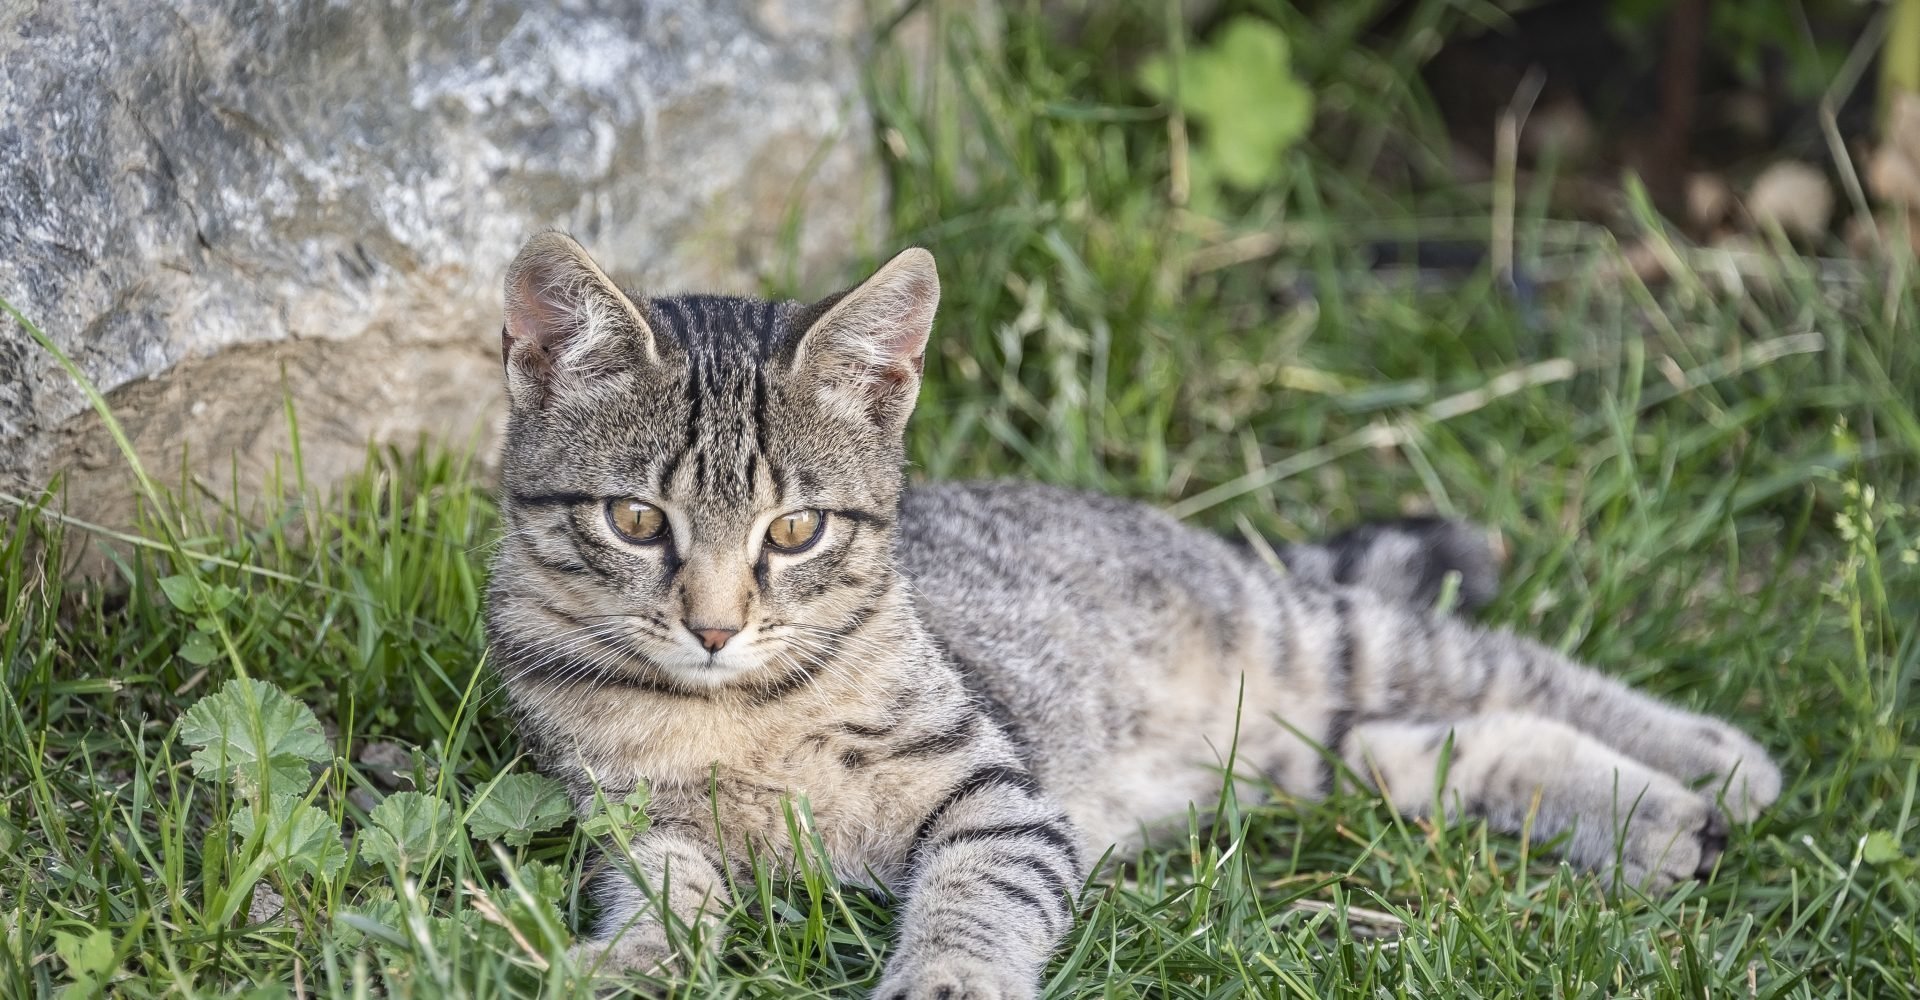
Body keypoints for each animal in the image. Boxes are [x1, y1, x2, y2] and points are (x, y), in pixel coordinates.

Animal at [487, 232, 1774, 990]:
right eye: (637, 520)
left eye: (795, 532)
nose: (713, 625)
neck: (736, 712)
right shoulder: (638, 822)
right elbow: (664, 894)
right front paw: (627, 960)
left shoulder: (997, 799)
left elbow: (975, 902)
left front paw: (943, 980)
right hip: (1296, 753)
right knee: (1460, 743)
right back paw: (1658, 820)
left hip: (1321, 638)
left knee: (1507, 669)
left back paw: (1717, 756)